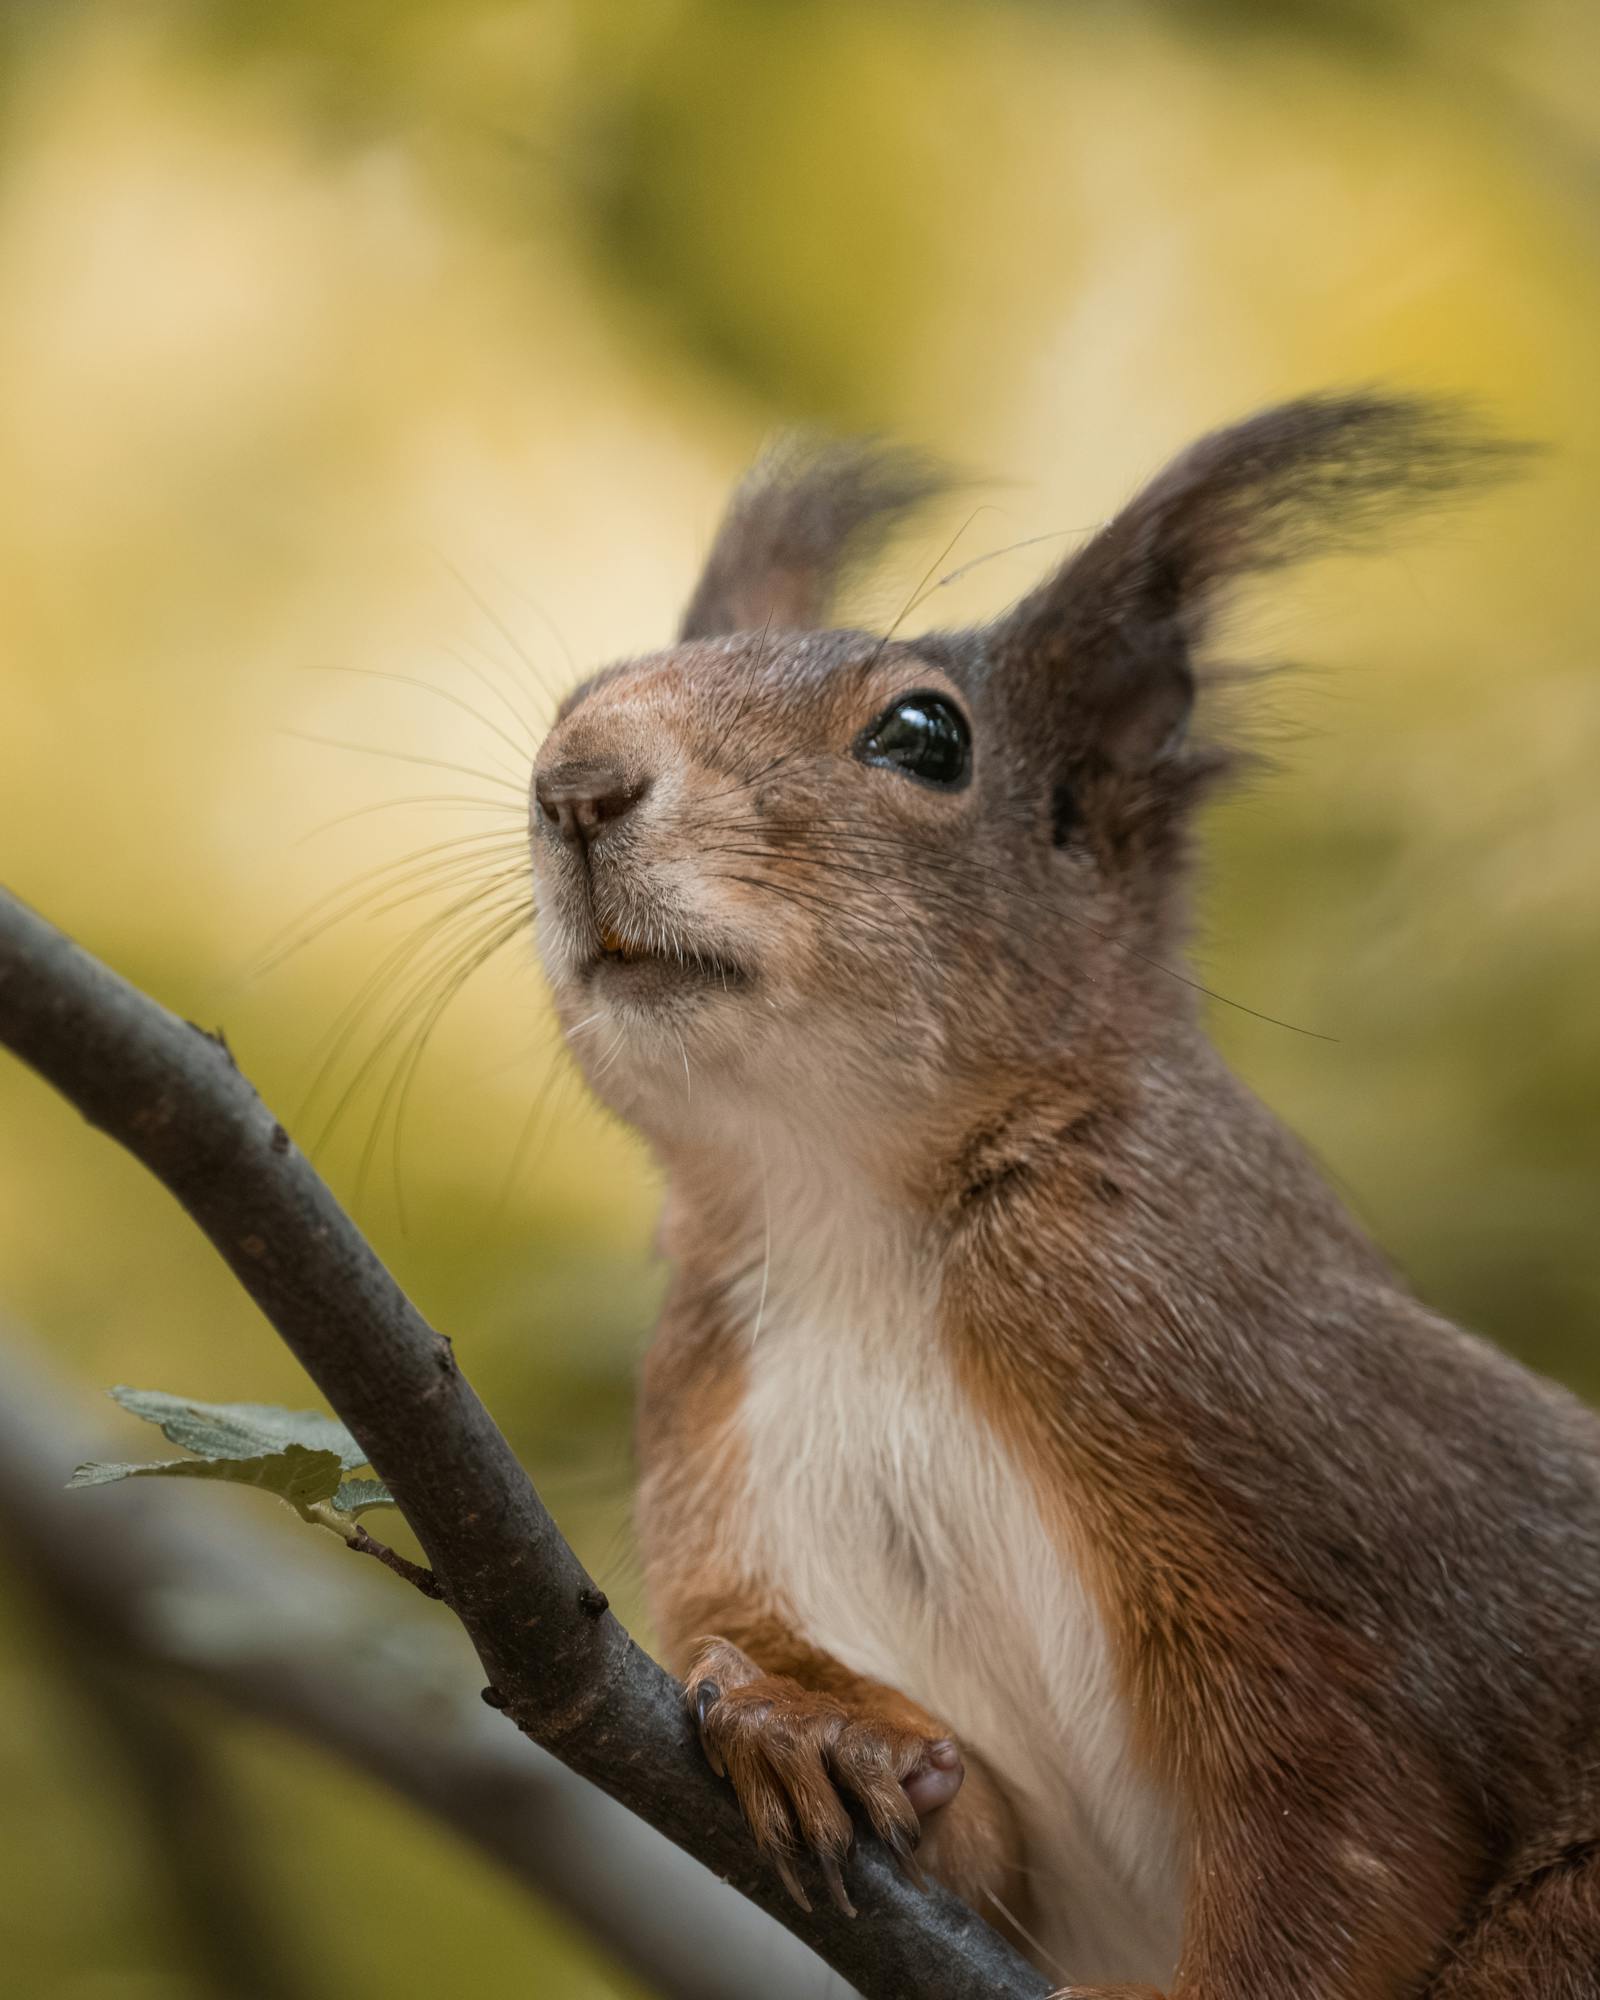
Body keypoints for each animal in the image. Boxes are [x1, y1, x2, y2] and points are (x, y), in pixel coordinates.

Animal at [528, 394, 1600, 2000]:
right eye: (578, 691)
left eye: (924, 735)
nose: (575, 782)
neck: (847, 1217)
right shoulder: (716, 1424)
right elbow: (971, 1848)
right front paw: (809, 1725)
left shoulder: (1246, 1436)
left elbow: (1344, 1839)